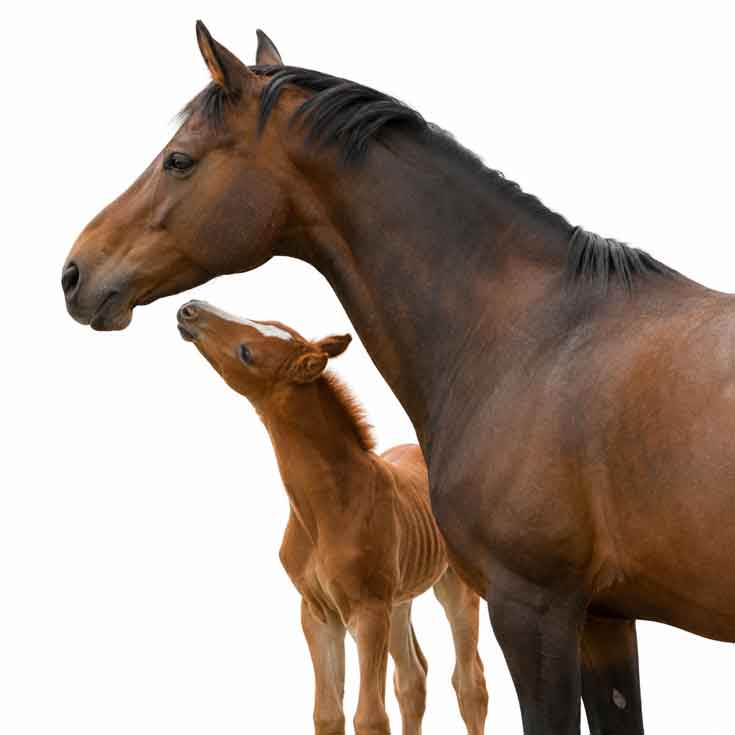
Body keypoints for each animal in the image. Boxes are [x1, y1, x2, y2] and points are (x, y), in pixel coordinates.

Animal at [175, 299, 488, 735]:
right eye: (266, 320)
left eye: (247, 352)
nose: (190, 309)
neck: (327, 509)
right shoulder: (318, 613)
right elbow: (328, 714)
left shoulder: (368, 612)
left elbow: (370, 717)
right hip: (400, 599)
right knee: (413, 679)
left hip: (452, 587)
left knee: (469, 683)